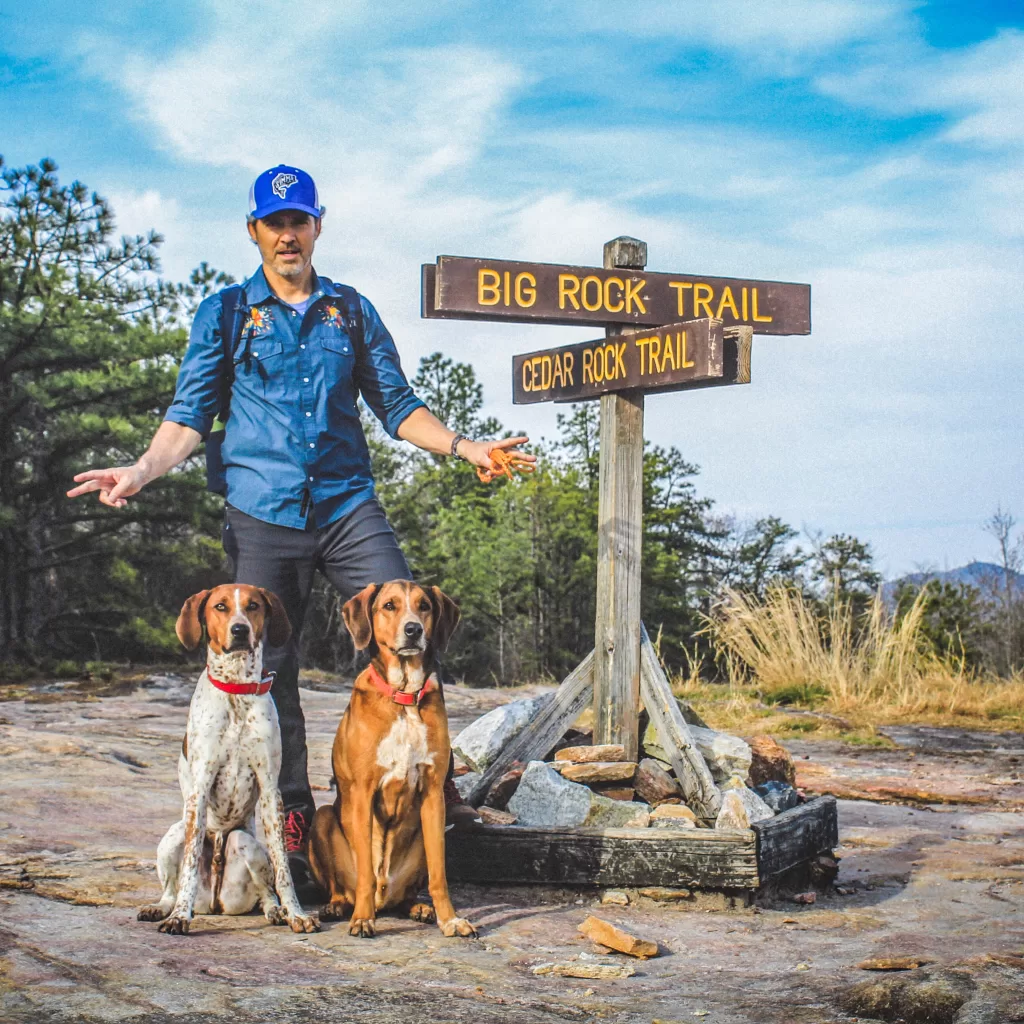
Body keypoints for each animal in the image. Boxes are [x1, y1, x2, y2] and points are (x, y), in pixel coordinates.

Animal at [138, 585, 317, 937]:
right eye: (220, 607)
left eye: (253, 606)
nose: (240, 630)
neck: (236, 688)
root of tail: (216, 901)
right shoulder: (200, 788)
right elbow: (190, 865)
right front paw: (179, 917)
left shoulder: (270, 790)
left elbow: (283, 869)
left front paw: (296, 913)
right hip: (174, 835)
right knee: (171, 887)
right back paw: (163, 907)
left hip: (244, 842)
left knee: (265, 889)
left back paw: (276, 911)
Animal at [305, 581, 477, 937]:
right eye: (389, 605)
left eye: (424, 606)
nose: (413, 630)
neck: (404, 697)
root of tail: (386, 898)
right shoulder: (362, 793)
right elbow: (365, 875)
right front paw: (362, 919)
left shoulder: (433, 795)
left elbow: (439, 875)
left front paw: (450, 919)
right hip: (324, 818)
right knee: (345, 886)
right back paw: (339, 905)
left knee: (407, 894)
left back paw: (418, 908)